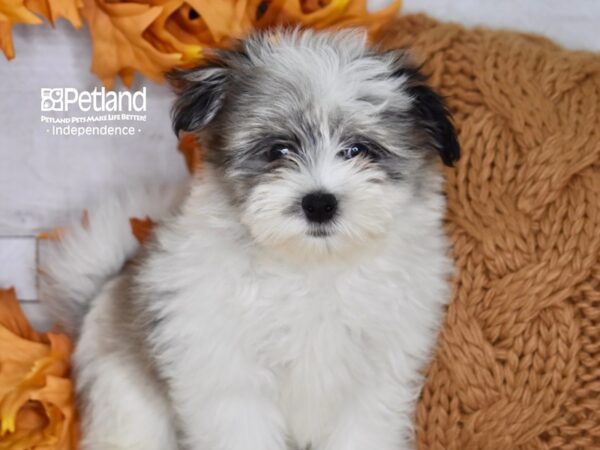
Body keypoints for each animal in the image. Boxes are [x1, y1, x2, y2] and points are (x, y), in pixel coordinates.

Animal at [39, 28, 460, 450]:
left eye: (359, 150)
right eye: (278, 151)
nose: (319, 203)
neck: (310, 265)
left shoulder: (376, 377)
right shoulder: (228, 377)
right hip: (130, 404)